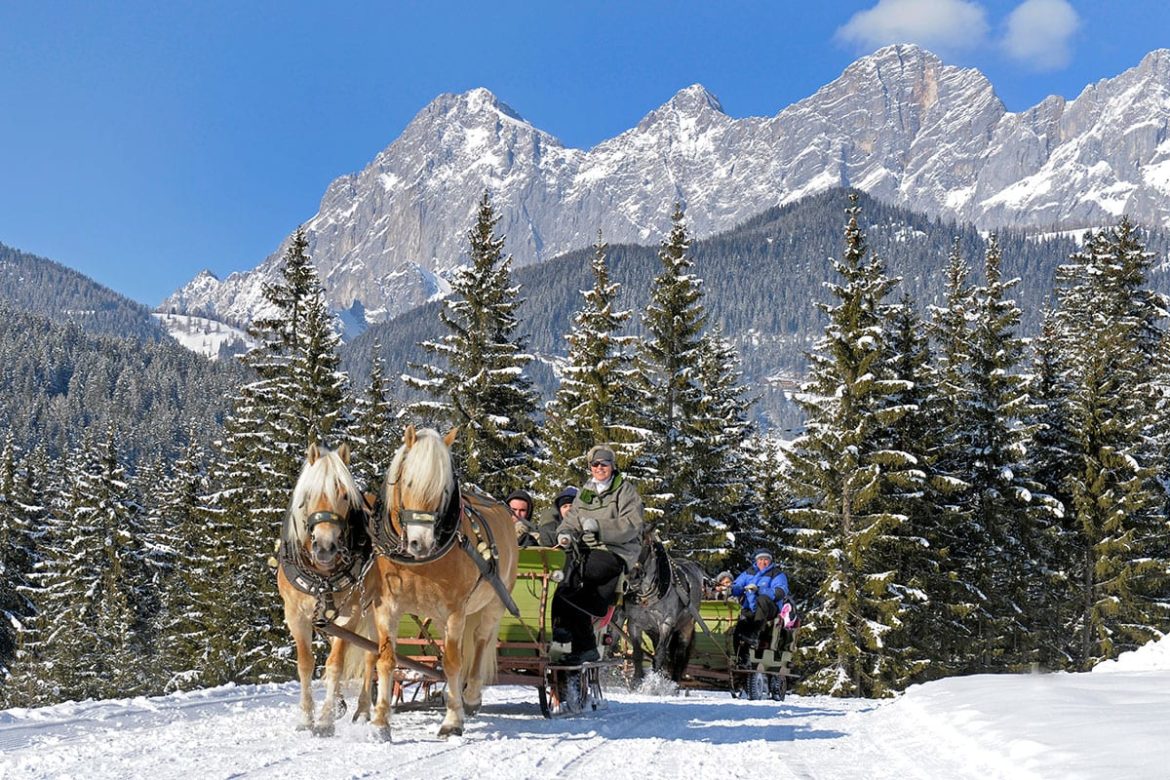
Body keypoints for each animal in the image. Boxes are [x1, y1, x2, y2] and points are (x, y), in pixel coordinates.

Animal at [273, 444, 374, 739]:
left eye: (344, 494)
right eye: (307, 496)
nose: (325, 547)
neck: (322, 574)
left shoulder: (348, 617)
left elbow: (335, 663)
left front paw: (326, 719)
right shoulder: (296, 615)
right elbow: (305, 664)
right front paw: (307, 717)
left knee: (371, 657)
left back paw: (363, 710)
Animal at [372, 428, 519, 739]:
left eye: (444, 490)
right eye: (408, 481)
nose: (421, 543)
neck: (419, 563)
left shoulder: (454, 611)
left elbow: (453, 662)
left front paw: (452, 721)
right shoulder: (387, 606)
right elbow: (386, 659)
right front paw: (380, 722)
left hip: (494, 602)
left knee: (479, 642)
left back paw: (471, 697)